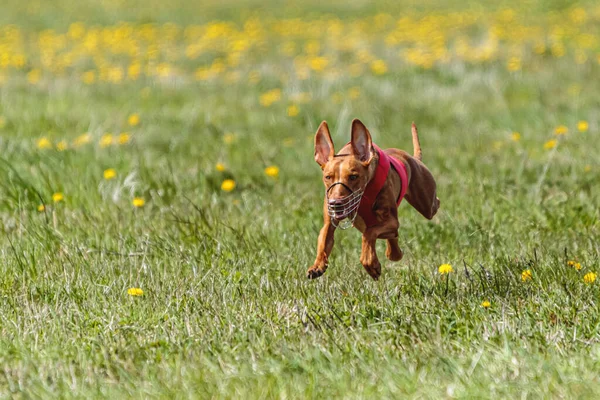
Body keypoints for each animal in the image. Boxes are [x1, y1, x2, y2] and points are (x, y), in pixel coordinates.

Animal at [308, 119, 438, 280]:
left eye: (353, 176)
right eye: (328, 177)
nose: (335, 204)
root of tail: (414, 158)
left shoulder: (391, 221)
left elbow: (369, 232)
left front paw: (371, 263)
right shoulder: (329, 222)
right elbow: (324, 239)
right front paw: (317, 266)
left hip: (426, 204)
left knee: (434, 205)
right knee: (393, 243)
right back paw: (393, 251)